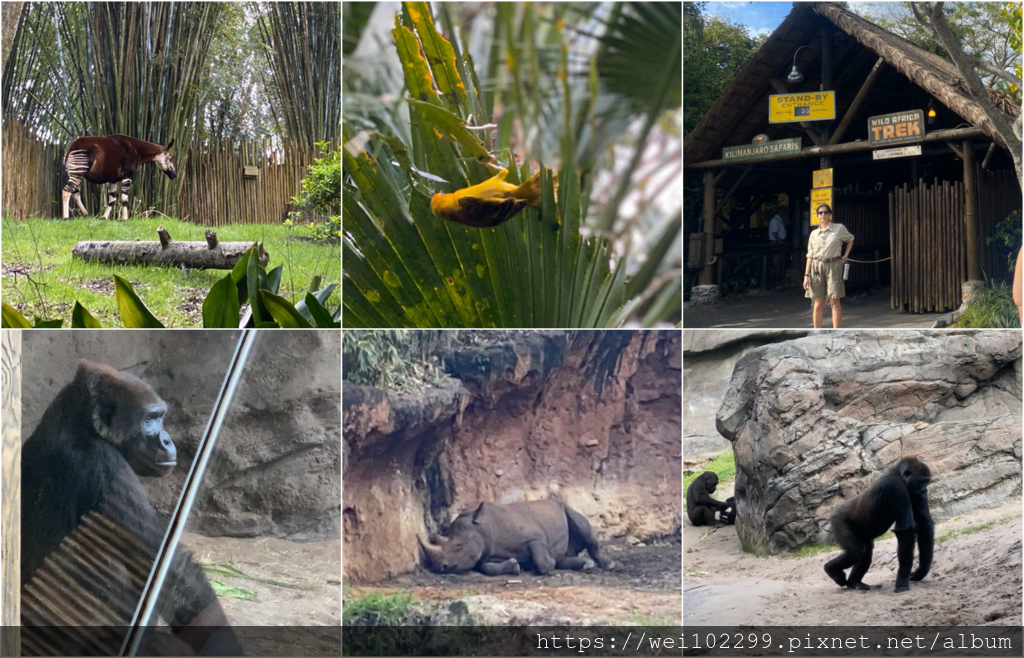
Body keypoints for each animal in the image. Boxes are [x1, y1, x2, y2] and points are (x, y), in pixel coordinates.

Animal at [22, 362, 243, 654]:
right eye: (149, 419)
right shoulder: (104, 464)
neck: (77, 423)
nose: (167, 440)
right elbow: (160, 562)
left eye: (161, 416)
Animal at [823, 456, 937, 593]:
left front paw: (921, 571)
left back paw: (855, 582)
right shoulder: (896, 487)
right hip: (838, 519)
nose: (925, 491)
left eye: (927, 481)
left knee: (866, 551)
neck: (899, 473)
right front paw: (902, 580)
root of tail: (834, 509)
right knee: (855, 551)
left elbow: (925, 524)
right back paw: (831, 570)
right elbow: (906, 531)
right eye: (920, 481)